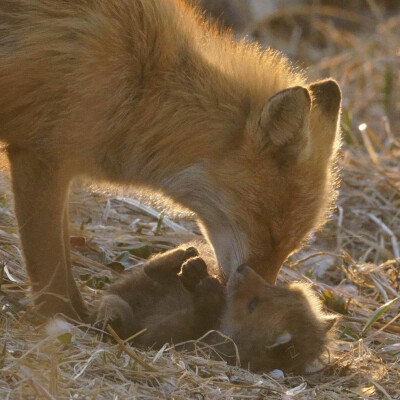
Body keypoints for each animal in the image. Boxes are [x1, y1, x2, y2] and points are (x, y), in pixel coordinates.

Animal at [0, 0, 340, 318]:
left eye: (291, 246)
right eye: (271, 235)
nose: (259, 295)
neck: (145, 89)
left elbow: (61, 255)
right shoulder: (40, 155)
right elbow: (50, 264)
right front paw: (59, 320)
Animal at [97, 245, 338, 374]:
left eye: (253, 304)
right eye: (283, 288)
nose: (242, 267)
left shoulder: (161, 337)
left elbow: (195, 315)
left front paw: (206, 288)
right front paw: (195, 272)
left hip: (122, 308)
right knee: (153, 267)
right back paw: (182, 255)